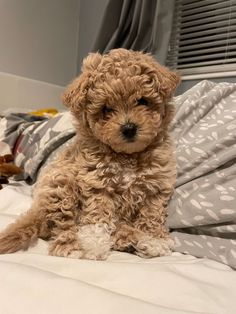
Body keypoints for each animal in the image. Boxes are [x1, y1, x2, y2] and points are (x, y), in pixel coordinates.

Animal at [0, 49, 179, 260]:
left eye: (143, 101)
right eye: (106, 109)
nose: (129, 128)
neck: (127, 155)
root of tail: (37, 209)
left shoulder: (156, 186)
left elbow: (152, 215)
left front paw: (154, 240)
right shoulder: (97, 182)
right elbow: (98, 215)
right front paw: (94, 243)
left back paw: (133, 239)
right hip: (61, 182)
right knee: (62, 226)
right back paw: (72, 247)